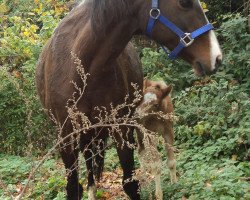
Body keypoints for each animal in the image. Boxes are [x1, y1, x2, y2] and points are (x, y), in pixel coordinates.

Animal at [36, 0, 222, 200]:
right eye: (185, 3)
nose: (217, 57)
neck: (84, 66)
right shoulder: (65, 135)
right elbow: (73, 188)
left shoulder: (122, 127)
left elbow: (131, 184)